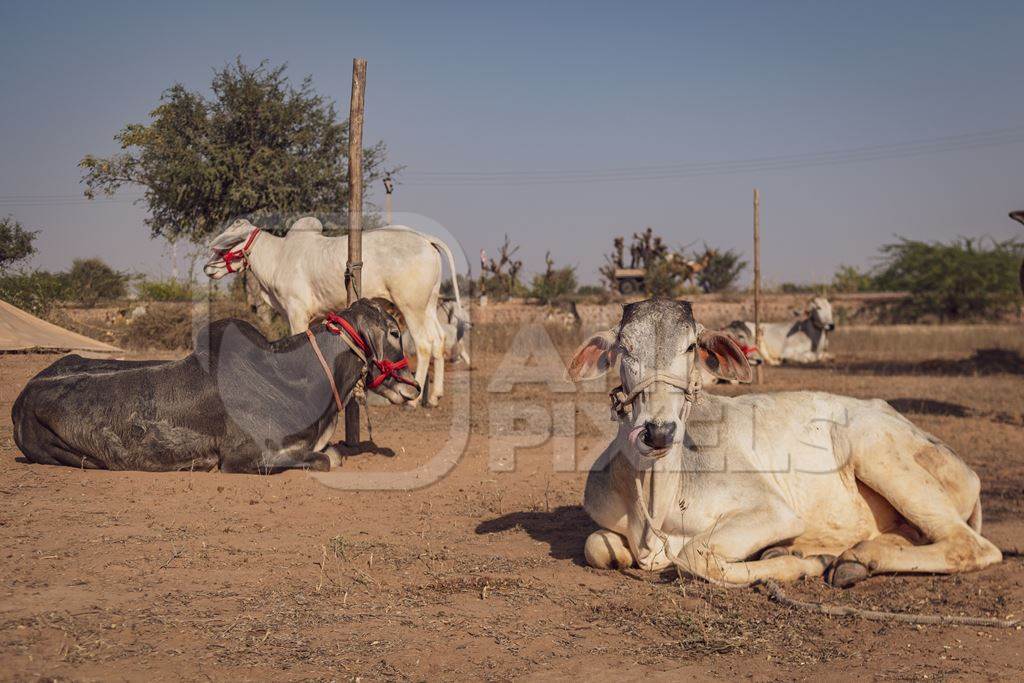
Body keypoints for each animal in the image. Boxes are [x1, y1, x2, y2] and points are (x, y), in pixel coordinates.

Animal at [205, 216, 462, 405]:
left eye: (227, 244)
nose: (207, 268)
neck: (277, 258)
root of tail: (425, 239)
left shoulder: (296, 313)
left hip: (411, 307)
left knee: (424, 344)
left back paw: (414, 399)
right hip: (429, 305)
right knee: (439, 340)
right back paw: (435, 396)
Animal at [573, 296, 1003, 589]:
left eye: (691, 346)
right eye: (624, 348)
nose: (658, 431)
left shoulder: (774, 512)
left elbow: (692, 557)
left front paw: (806, 563)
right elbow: (595, 545)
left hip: (876, 451)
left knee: (972, 546)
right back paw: (855, 558)